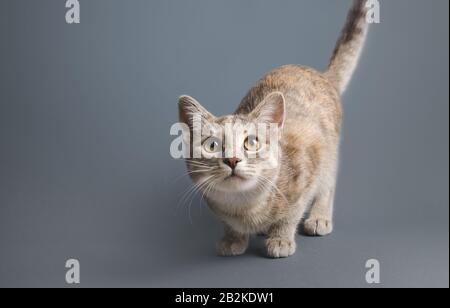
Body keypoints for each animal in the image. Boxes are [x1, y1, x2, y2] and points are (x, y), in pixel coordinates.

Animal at [177, 0, 370, 258]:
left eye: (251, 142)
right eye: (212, 145)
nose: (232, 160)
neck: (245, 207)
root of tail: (320, 74)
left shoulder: (307, 167)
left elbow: (292, 213)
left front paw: (280, 238)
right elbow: (230, 224)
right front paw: (233, 238)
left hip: (329, 152)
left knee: (328, 183)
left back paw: (319, 217)